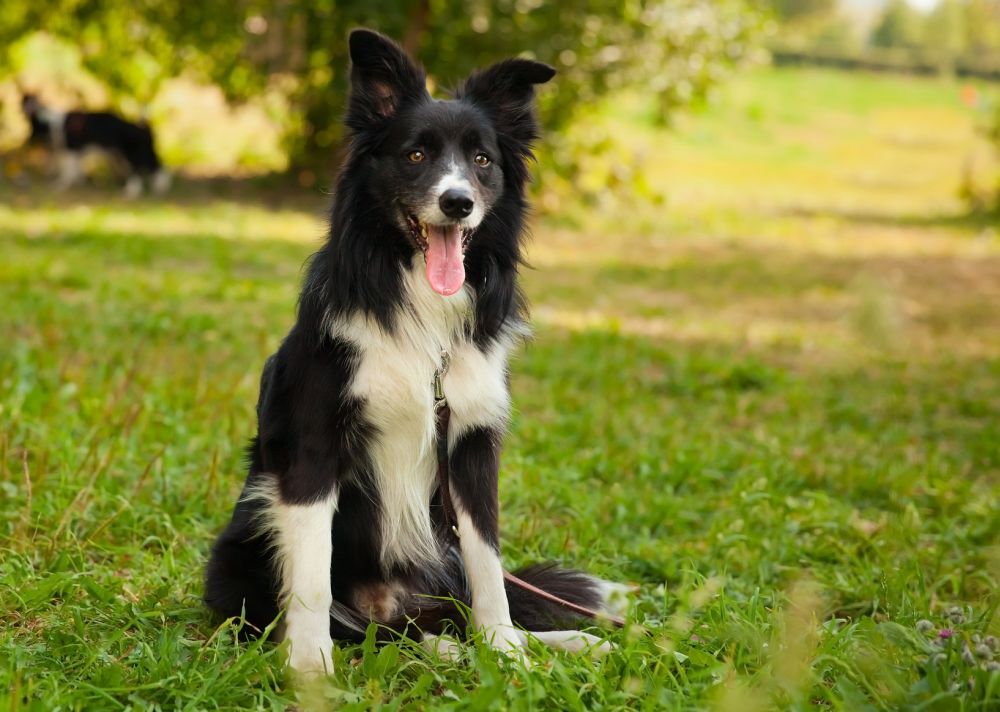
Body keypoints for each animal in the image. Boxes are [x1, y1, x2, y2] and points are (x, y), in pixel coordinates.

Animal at [19, 93, 172, 197]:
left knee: (138, 170)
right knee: (155, 166)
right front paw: (78, 182)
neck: (53, 123)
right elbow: (77, 170)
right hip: (124, 154)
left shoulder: (71, 150)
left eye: (31, 127)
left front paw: (60, 185)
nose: (27, 140)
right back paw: (158, 186)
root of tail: (141, 129)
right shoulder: (78, 153)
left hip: (129, 154)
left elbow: (67, 171)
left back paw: (131, 191)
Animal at [205, 29, 624, 672]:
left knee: (442, 613)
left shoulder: (472, 445)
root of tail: (389, 604)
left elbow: (489, 570)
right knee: (367, 626)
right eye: (416, 156)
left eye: (482, 161)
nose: (458, 203)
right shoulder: (313, 446)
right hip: (242, 545)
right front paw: (310, 670)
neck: (424, 313)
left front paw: (508, 654)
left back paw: (550, 641)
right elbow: (311, 579)